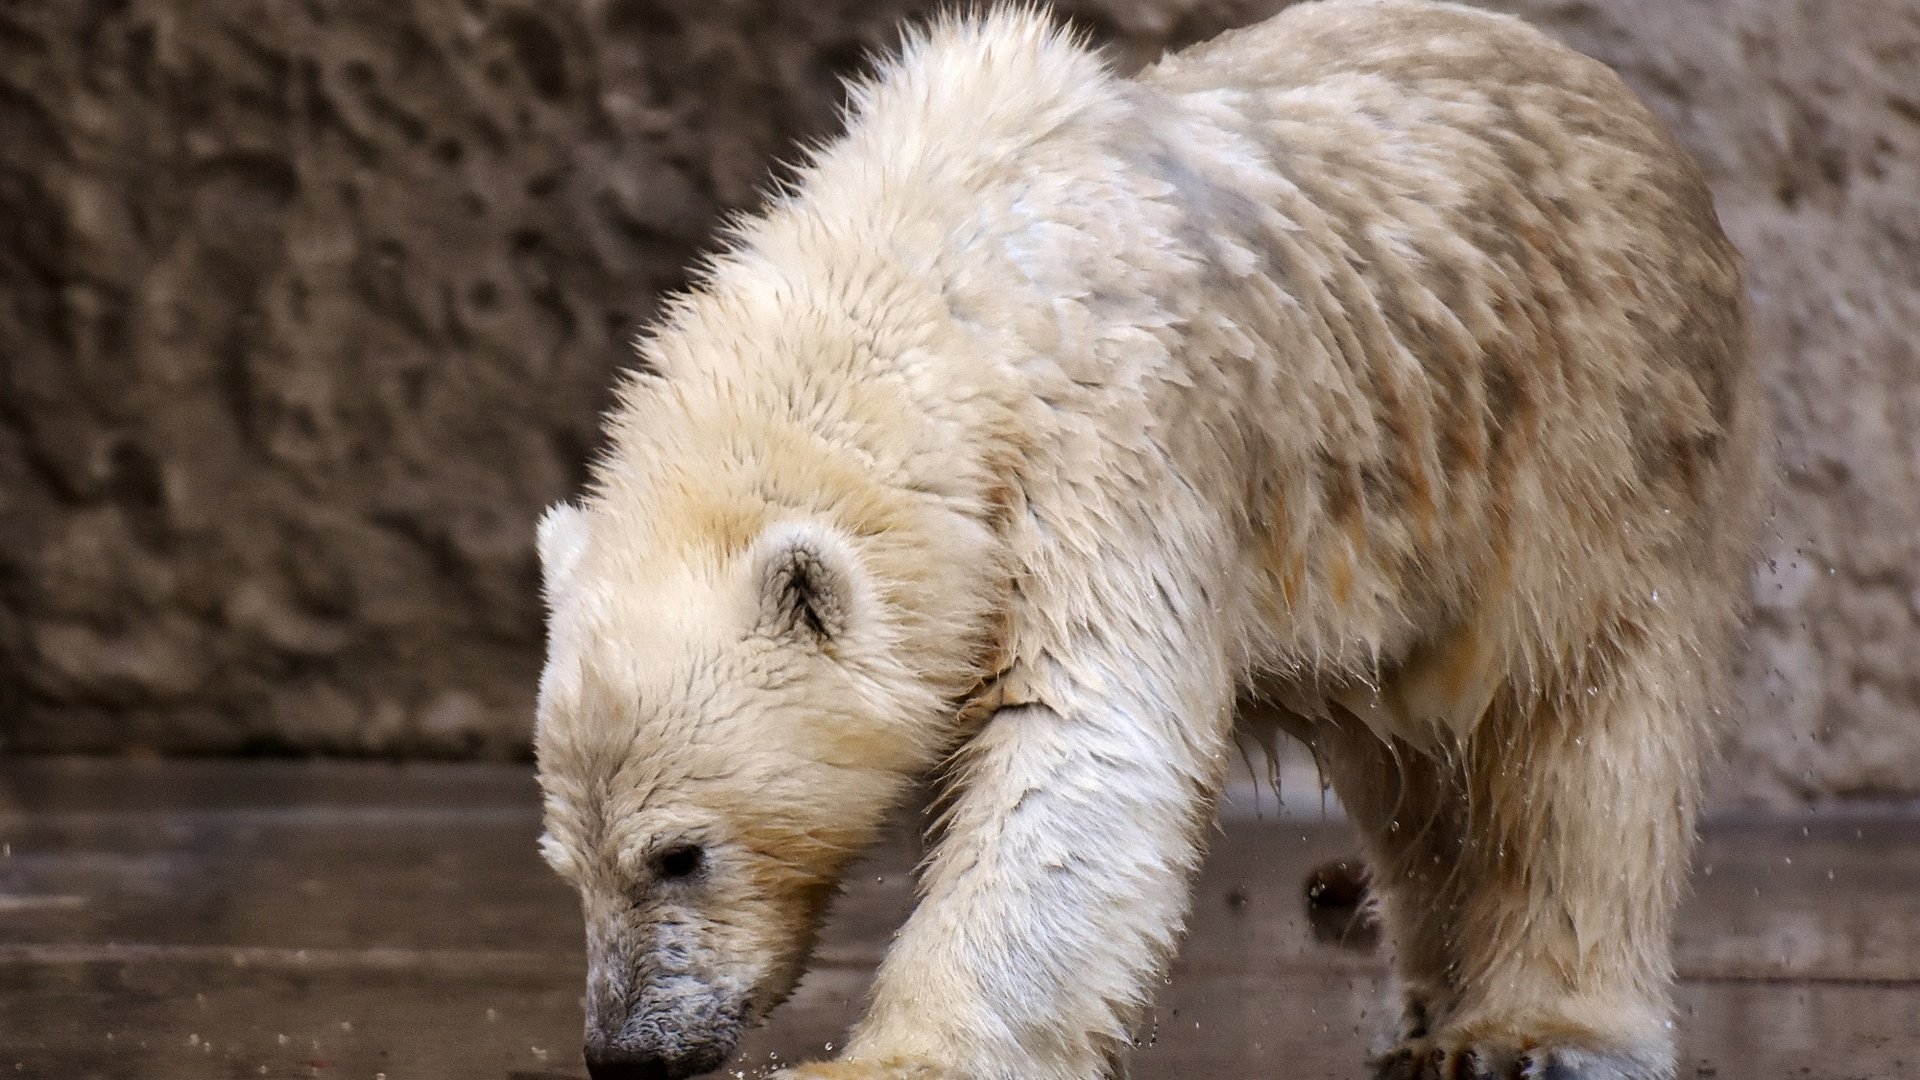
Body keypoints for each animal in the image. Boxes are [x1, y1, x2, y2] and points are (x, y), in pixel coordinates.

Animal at [533, 2, 1758, 1076]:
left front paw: (884, 1061)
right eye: (565, 861)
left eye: (679, 853)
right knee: (1411, 767)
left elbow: (1081, 746)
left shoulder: (1107, 447)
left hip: (1586, 439)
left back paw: (1531, 1032)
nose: (625, 1051)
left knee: (1575, 730)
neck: (936, 273)